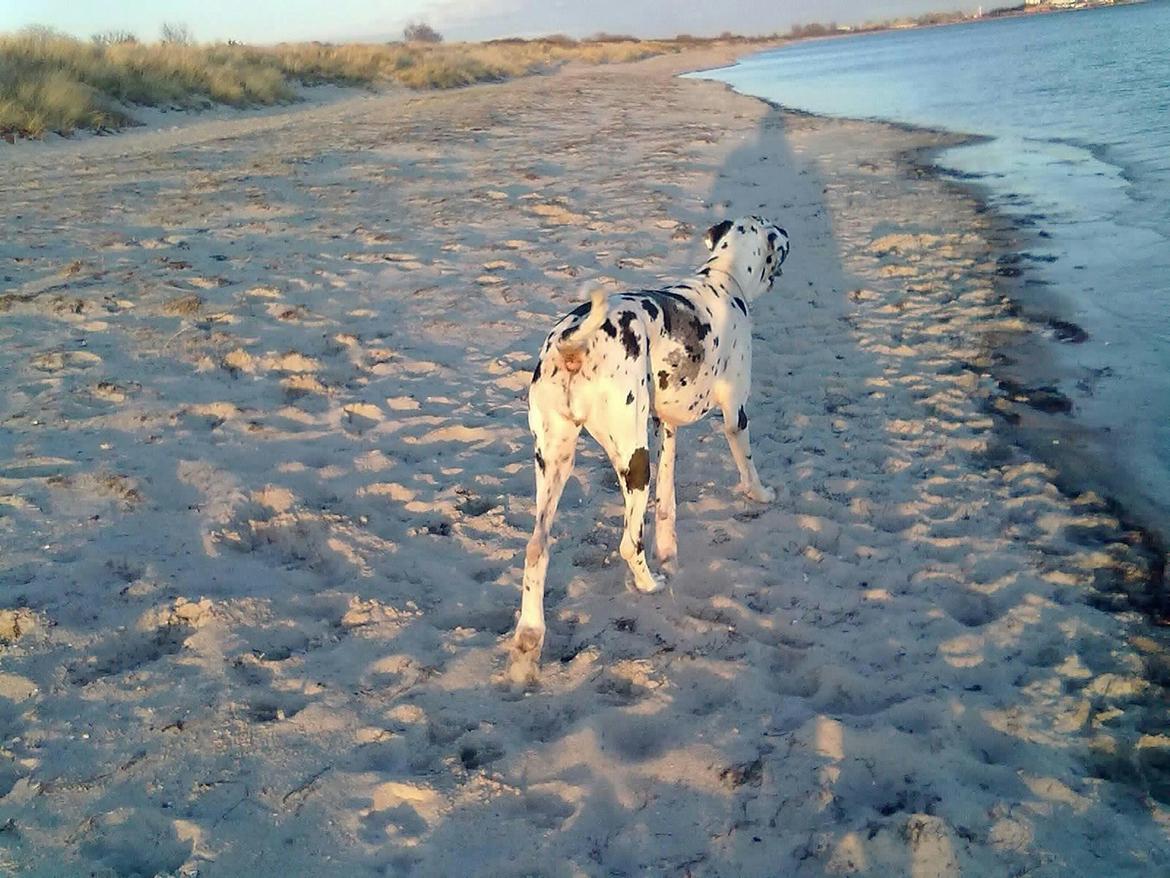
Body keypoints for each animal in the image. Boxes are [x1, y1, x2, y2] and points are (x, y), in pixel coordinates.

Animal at [510, 215, 786, 664]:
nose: (789, 237)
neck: (723, 277)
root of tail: (574, 343)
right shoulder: (735, 414)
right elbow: (747, 464)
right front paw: (760, 494)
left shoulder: (665, 428)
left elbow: (667, 500)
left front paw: (669, 547)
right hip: (633, 460)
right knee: (627, 542)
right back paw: (649, 584)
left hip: (555, 464)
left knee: (537, 549)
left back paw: (531, 634)